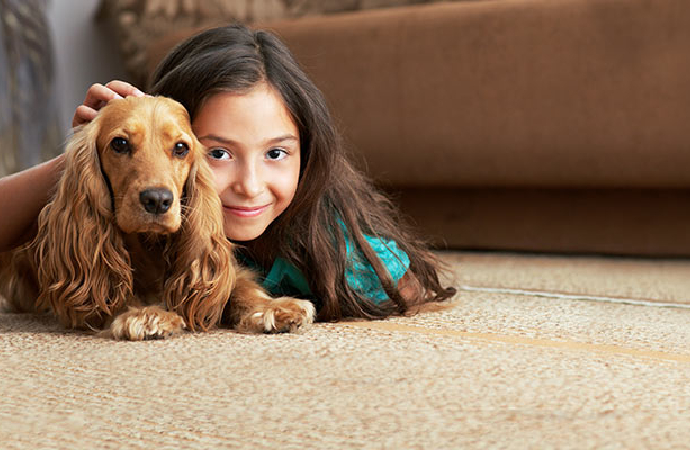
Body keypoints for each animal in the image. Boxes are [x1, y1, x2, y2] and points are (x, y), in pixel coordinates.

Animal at [0, 96, 312, 342]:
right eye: (120, 143)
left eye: (181, 148)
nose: (158, 200)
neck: (149, 245)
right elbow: (113, 290)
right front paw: (147, 315)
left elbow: (239, 287)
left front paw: (272, 308)